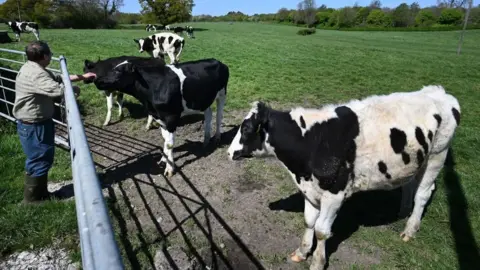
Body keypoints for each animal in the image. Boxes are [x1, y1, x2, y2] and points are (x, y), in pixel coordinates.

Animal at [83, 55, 230, 177]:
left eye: (118, 71)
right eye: (113, 68)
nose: (97, 80)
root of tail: (218, 61)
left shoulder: (171, 117)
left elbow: (169, 144)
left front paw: (170, 169)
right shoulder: (159, 116)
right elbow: (165, 139)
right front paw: (164, 159)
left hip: (222, 94)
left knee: (219, 116)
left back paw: (217, 137)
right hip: (204, 100)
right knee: (209, 114)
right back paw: (206, 140)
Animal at [228, 86, 462, 270]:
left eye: (246, 128)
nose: (229, 152)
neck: (313, 141)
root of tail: (439, 92)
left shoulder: (335, 193)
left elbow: (322, 230)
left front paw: (317, 262)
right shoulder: (310, 188)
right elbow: (309, 221)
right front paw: (301, 252)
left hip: (438, 155)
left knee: (424, 193)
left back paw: (410, 230)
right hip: (414, 161)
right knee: (410, 186)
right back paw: (404, 212)